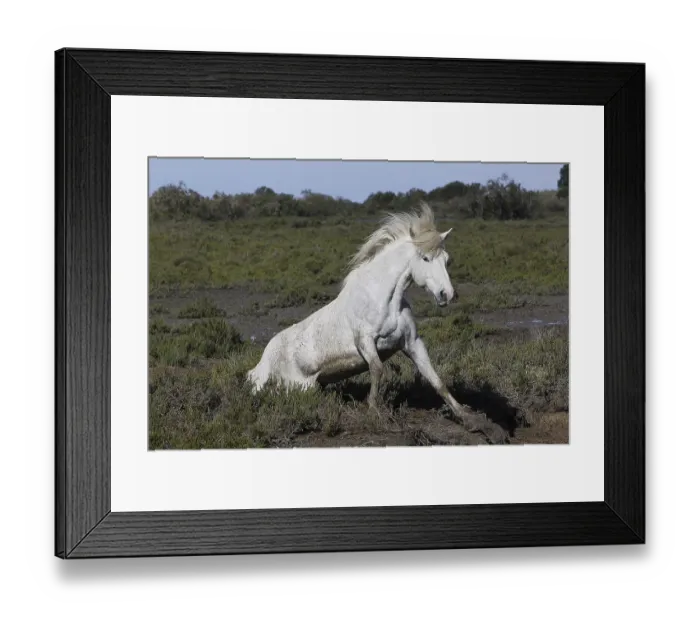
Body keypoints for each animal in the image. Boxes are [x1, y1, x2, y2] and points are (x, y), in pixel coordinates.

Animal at [246, 202, 508, 444]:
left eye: (447, 260)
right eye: (425, 258)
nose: (447, 295)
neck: (385, 300)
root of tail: (262, 360)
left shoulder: (412, 343)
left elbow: (436, 380)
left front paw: (475, 422)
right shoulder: (365, 342)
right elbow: (377, 369)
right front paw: (374, 412)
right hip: (278, 384)